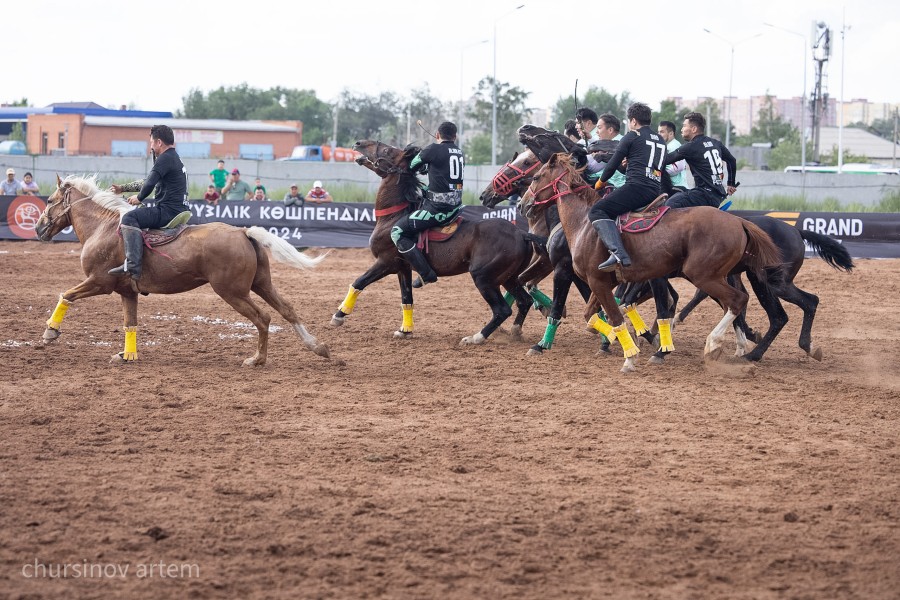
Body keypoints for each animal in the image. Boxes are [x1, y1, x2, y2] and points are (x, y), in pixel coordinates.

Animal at [35, 173, 332, 366]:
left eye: (49, 201)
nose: (38, 228)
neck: (105, 228)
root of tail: (243, 232)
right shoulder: (127, 292)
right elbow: (130, 323)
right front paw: (127, 355)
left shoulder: (99, 282)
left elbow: (66, 295)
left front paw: (50, 333)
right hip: (261, 284)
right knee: (287, 310)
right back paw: (318, 347)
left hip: (233, 292)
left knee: (263, 318)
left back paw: (257, 359)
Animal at [330, 141, 540, 344]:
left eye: (388, 150)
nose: (358, 143)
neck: (392, 217)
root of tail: (521, 234)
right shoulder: (402, 268)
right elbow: (407, 298)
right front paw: (405, 330)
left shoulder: (385, 262)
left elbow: (359, 282)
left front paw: (339, 315)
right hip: (509, 278)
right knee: (524, 301)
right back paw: (515, 331)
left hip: (483, 277)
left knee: (502, 310)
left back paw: (476, 337)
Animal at [524, 154, 784, 370]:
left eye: (536, 176)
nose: (524, 204)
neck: (584, 224)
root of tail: (738, 221)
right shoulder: (602, 283)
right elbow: (593, 315)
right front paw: (617, 339)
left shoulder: (590, 279)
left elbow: (612, 316)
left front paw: (630, 355)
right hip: (710, 276)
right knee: (732, 304)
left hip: (702, 275)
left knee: (737, 300)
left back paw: (713, 343)